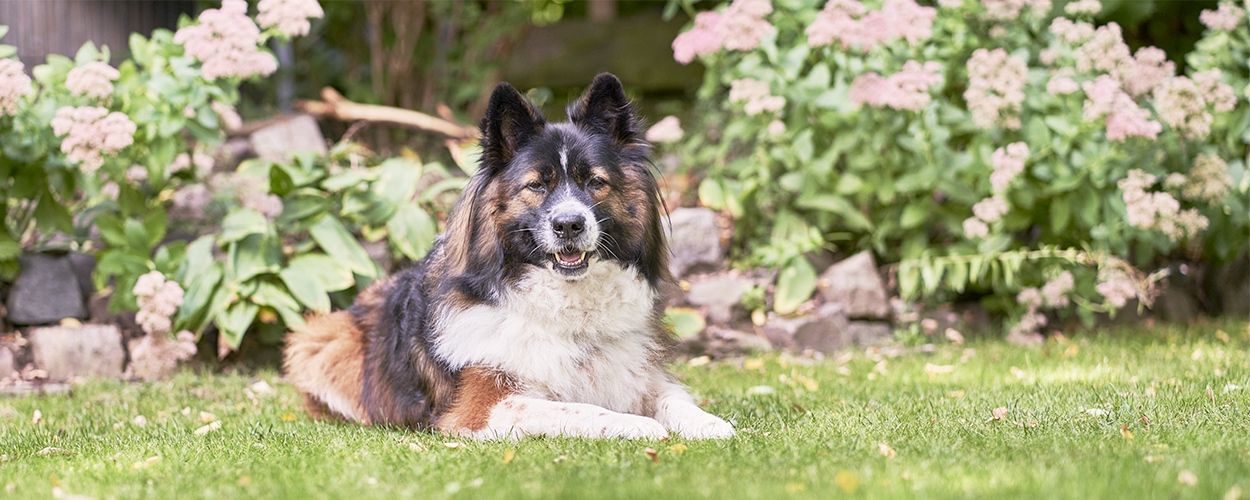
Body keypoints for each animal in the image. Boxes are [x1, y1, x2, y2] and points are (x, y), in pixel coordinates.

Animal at [283, 72, 730, 440]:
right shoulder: (483, 407)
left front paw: (709, 423)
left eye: (595, 182)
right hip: (318, 342)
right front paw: (635, 424)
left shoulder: (640, 376)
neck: (567, 313)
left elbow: (674, 399)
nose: (569, 225)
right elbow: (577, 409)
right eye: (536, 185)